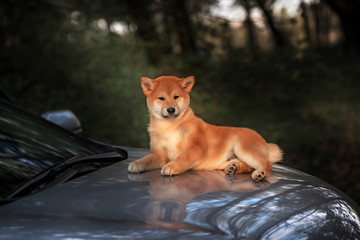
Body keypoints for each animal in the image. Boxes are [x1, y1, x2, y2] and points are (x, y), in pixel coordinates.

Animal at [128, 76, 282, 181]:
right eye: (161, 98)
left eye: (176, 97)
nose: (171, 109)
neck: (170, 127)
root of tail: (263, 141)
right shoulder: (158, 153)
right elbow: (146, 159)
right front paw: (136, 164)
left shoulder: (196, 147)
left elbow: (183, 158)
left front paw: (171, 166)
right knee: (247, 166)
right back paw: (234, 167)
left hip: (244, 148)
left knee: (267, 165)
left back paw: (259, 174)